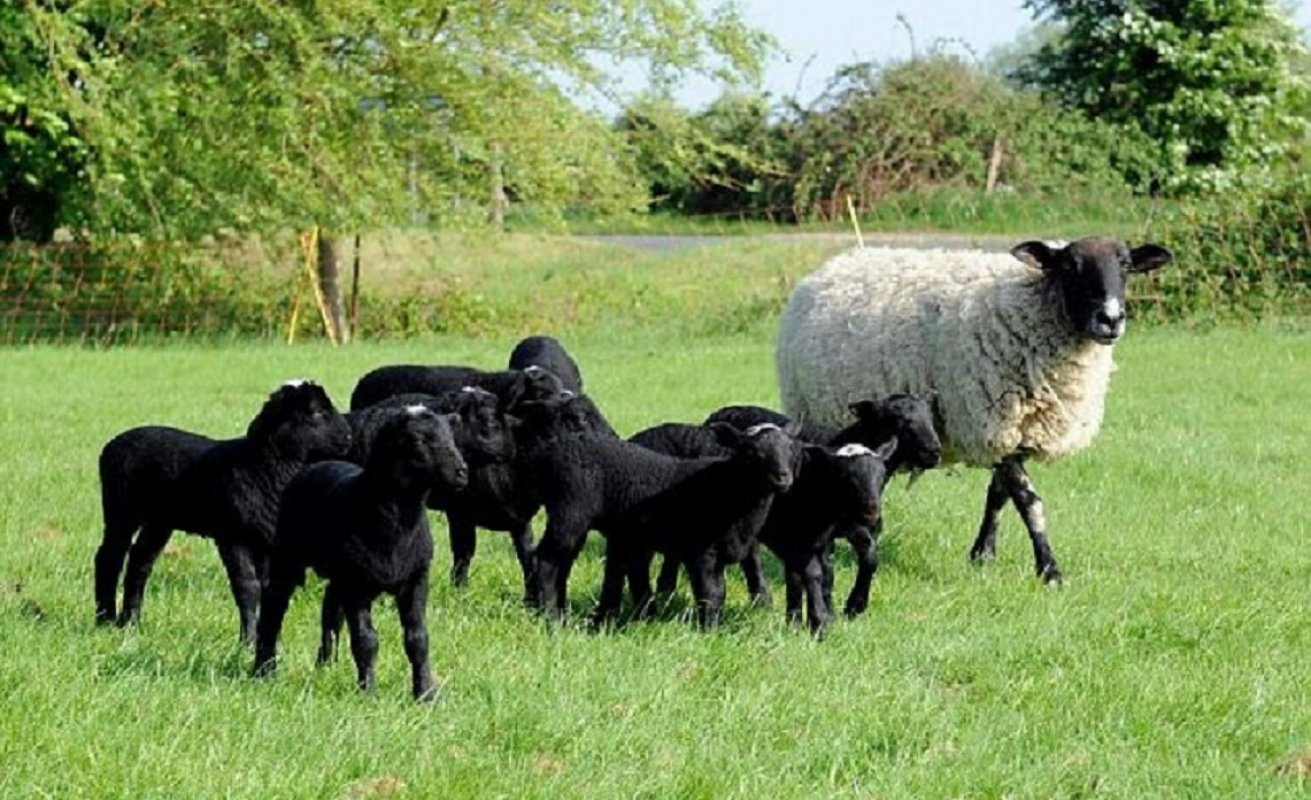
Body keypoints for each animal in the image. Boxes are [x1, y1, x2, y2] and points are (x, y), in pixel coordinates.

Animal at [93, 380, 353, 642]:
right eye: (316, 412)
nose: (349, 436)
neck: (262, 467)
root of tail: (112, 444)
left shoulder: (265, 541)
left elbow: (266, 586)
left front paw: (266, 637)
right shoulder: (233, 535)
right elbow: (247, 586)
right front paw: (247, 640)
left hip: (159, 520)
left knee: (140, 561)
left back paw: (130, 623)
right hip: (121, 508)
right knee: (109, 557)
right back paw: (105, 620)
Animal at [250, 403, 466, 697]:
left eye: (452, 437)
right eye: (418, 440)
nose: (462, 471)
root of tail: (316, 465)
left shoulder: (416, 578)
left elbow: (418, 638)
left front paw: (425, 693)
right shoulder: (356, 584)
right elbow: (366, 640)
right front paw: (369, 692)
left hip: (338, 573)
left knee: (330, 612)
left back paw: (325, 666)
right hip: (288, 557)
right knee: (274, 607)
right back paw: (264, 669)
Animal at [770, 234, 1174, 579]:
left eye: (1126, 265)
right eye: (1070, 266)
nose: (1111, 318)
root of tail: (831, 266)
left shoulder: (1013, 430)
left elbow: (999, 495)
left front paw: (983, 555)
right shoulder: (991, 421)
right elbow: (1028, 499)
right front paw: (1049, 570)